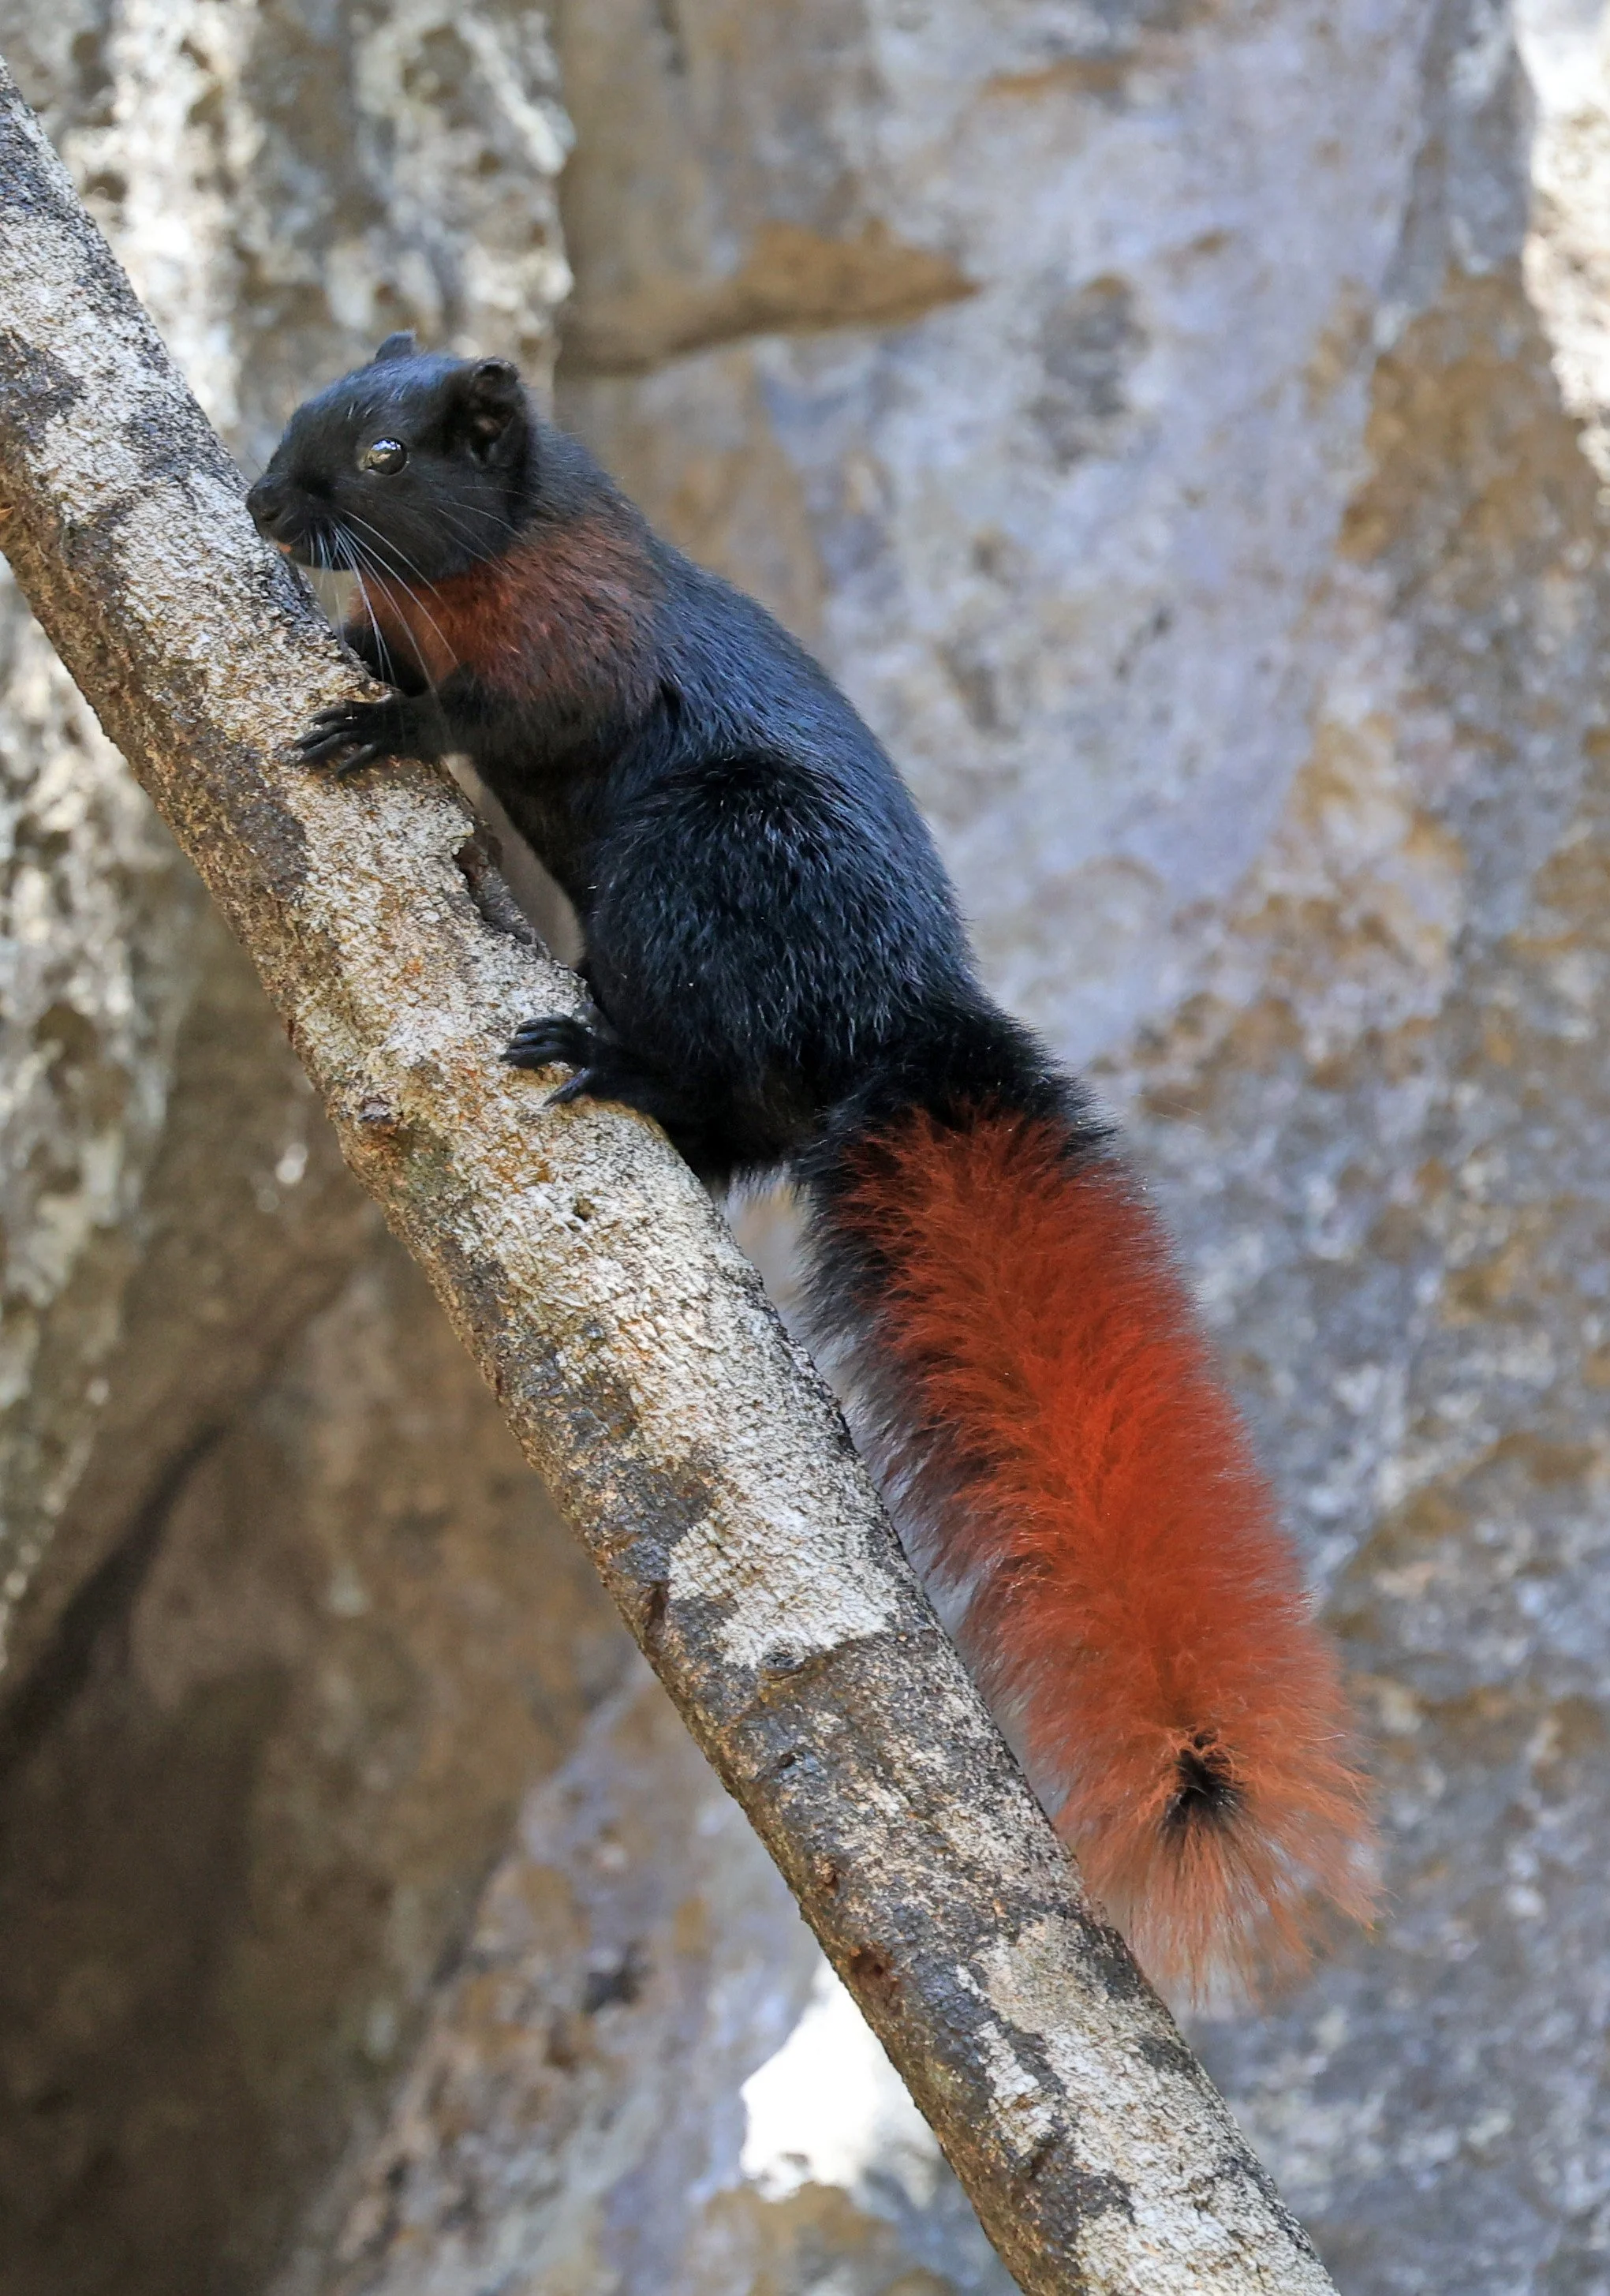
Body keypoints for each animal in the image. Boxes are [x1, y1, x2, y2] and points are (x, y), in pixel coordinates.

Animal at [248, 334, 1375, 1997]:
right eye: (308, 408)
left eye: (387, 458)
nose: (269, 504)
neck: (499, 563)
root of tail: (901, 1014)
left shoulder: (580, 642)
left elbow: (503, 713)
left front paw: (384, 724)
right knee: (740, 1131)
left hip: (698, 866)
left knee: (715, 1074)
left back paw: (605, 1056)